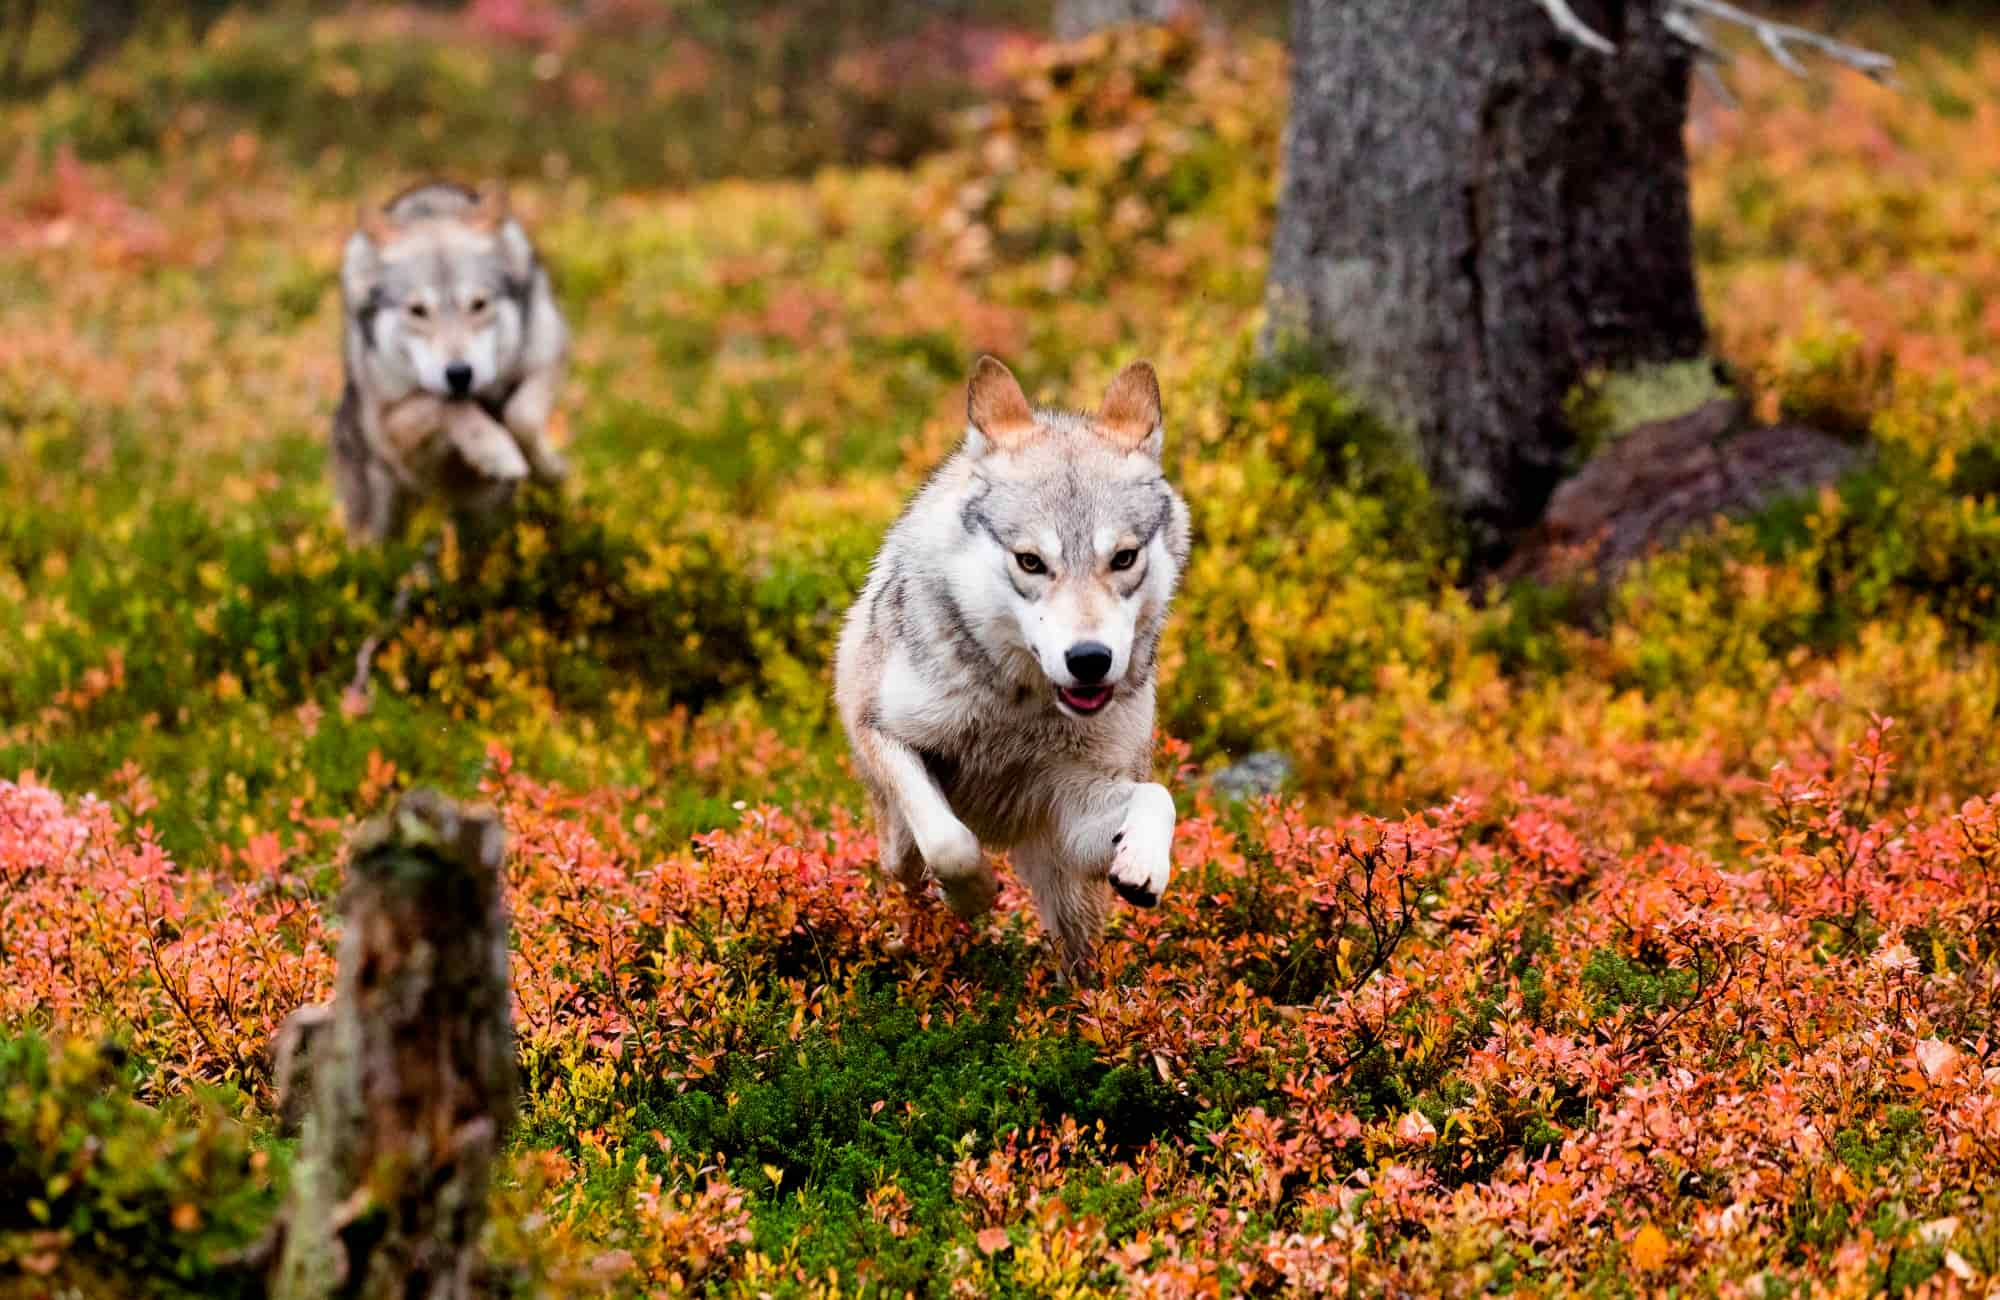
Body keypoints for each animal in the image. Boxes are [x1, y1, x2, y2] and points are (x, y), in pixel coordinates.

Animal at [326, 180, 564, 540]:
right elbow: (450, 407)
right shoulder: (392, 424)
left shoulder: (548, 357)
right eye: (418, 311)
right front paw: (496, 452)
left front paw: (546, 466)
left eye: (478, 304)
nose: (460, 373)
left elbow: (522, 417)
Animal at [836, 354, 1192, 984]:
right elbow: (950, 842)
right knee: (909, 872)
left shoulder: (1069, 811)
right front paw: (974, 893)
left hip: (1067, 885)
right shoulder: (885, 733)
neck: (1021, 708)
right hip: (894, 838)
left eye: (1123, 558)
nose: (1089, 659)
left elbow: (1158, 796)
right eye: (1030, 561)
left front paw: (1145, 862)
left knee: (1077, 959)